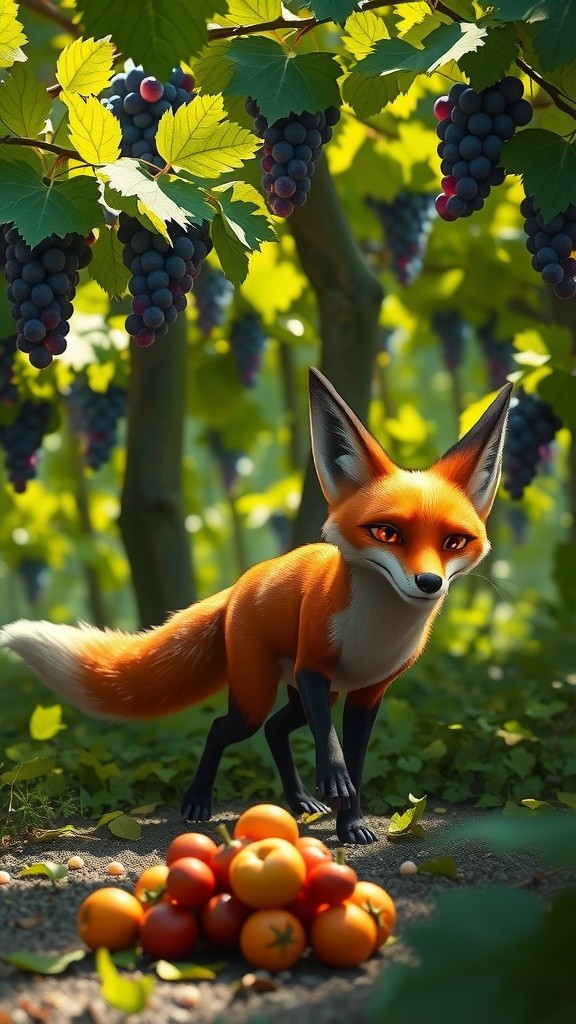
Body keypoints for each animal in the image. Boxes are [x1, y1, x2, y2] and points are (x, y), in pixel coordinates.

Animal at [0, 369, 512, 844]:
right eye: (386, 533)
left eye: (454, 542)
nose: (428, 583)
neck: (376, 635)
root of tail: (240, 585)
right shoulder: (313, 668)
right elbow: (333, 751)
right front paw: (335, 784)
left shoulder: (368, 693)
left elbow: (357, 761)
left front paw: (351, 825)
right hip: (262, 692)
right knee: (224, 727)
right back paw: (197, 802)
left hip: (306, 695)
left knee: (275, 730)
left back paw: (299, 800)